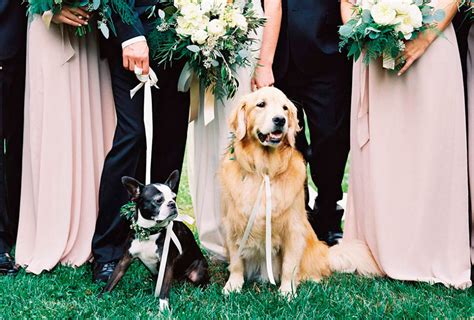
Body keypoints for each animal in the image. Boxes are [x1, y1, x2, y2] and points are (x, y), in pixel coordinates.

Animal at [100, 170, 209, 310]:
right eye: (158, 200)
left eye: (174, 198)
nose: (172, 204)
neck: (149, 233)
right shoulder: (125, 259)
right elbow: (112, 279)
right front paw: (100, 298)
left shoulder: (167, 264)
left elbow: (164, 290)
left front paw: (163, 309)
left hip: (197, 272)